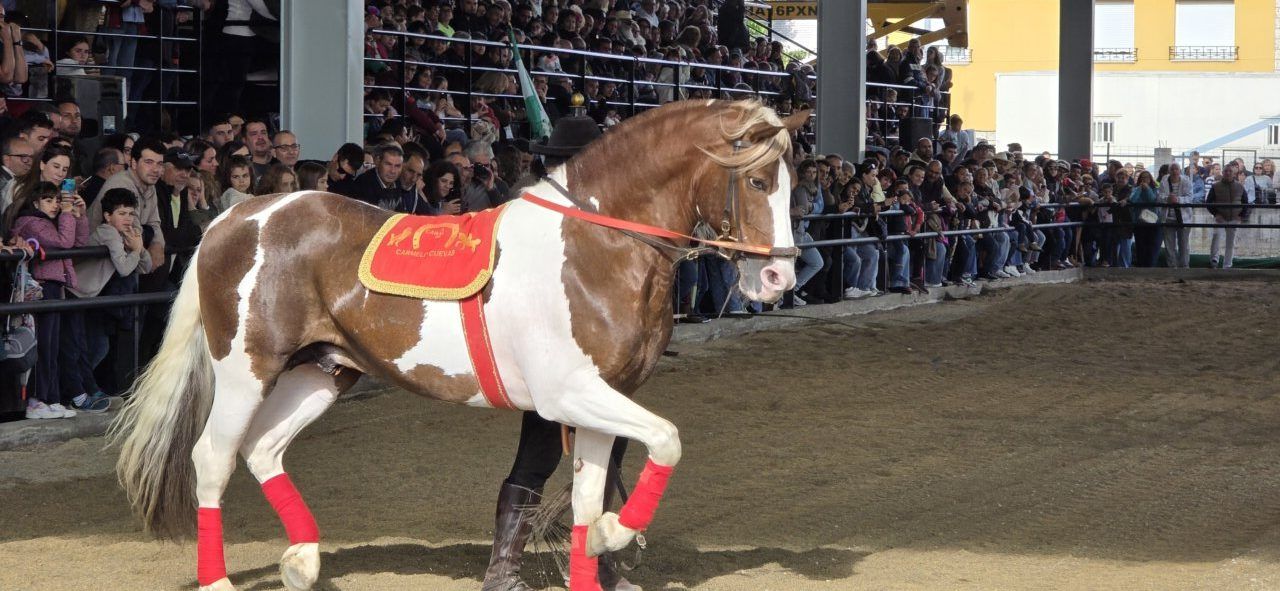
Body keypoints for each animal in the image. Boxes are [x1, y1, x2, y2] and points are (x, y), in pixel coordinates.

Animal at [111, 99, 806, 591]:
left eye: (790, 179)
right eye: (759, 181)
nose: (778, 277)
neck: (595, 247)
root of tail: (237, 217)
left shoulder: (597, 399)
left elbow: (589, 495)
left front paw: (600, 546)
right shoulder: (568, 394)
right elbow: (665, 441)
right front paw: (617, 534)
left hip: (323, 372)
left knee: (263, 450)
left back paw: (303, 560)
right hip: (246, 369)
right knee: (213, 458)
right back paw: (219, 580)